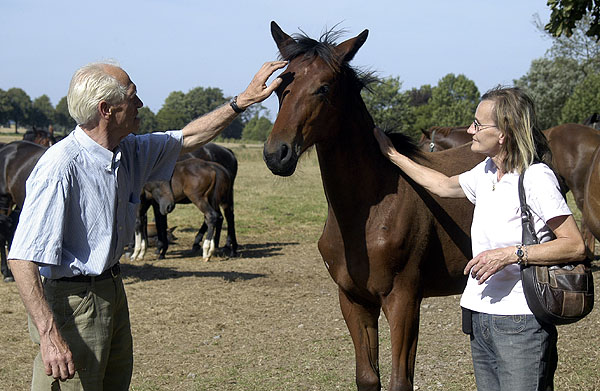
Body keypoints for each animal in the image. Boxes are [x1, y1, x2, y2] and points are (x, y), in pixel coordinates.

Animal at [262, 23, 482, 391]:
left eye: (324, 88)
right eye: (280, 87)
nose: (277, 153)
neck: (364, 218)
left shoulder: (403, 301)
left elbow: (399, 380)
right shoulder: (355, 301)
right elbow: (368, 377)